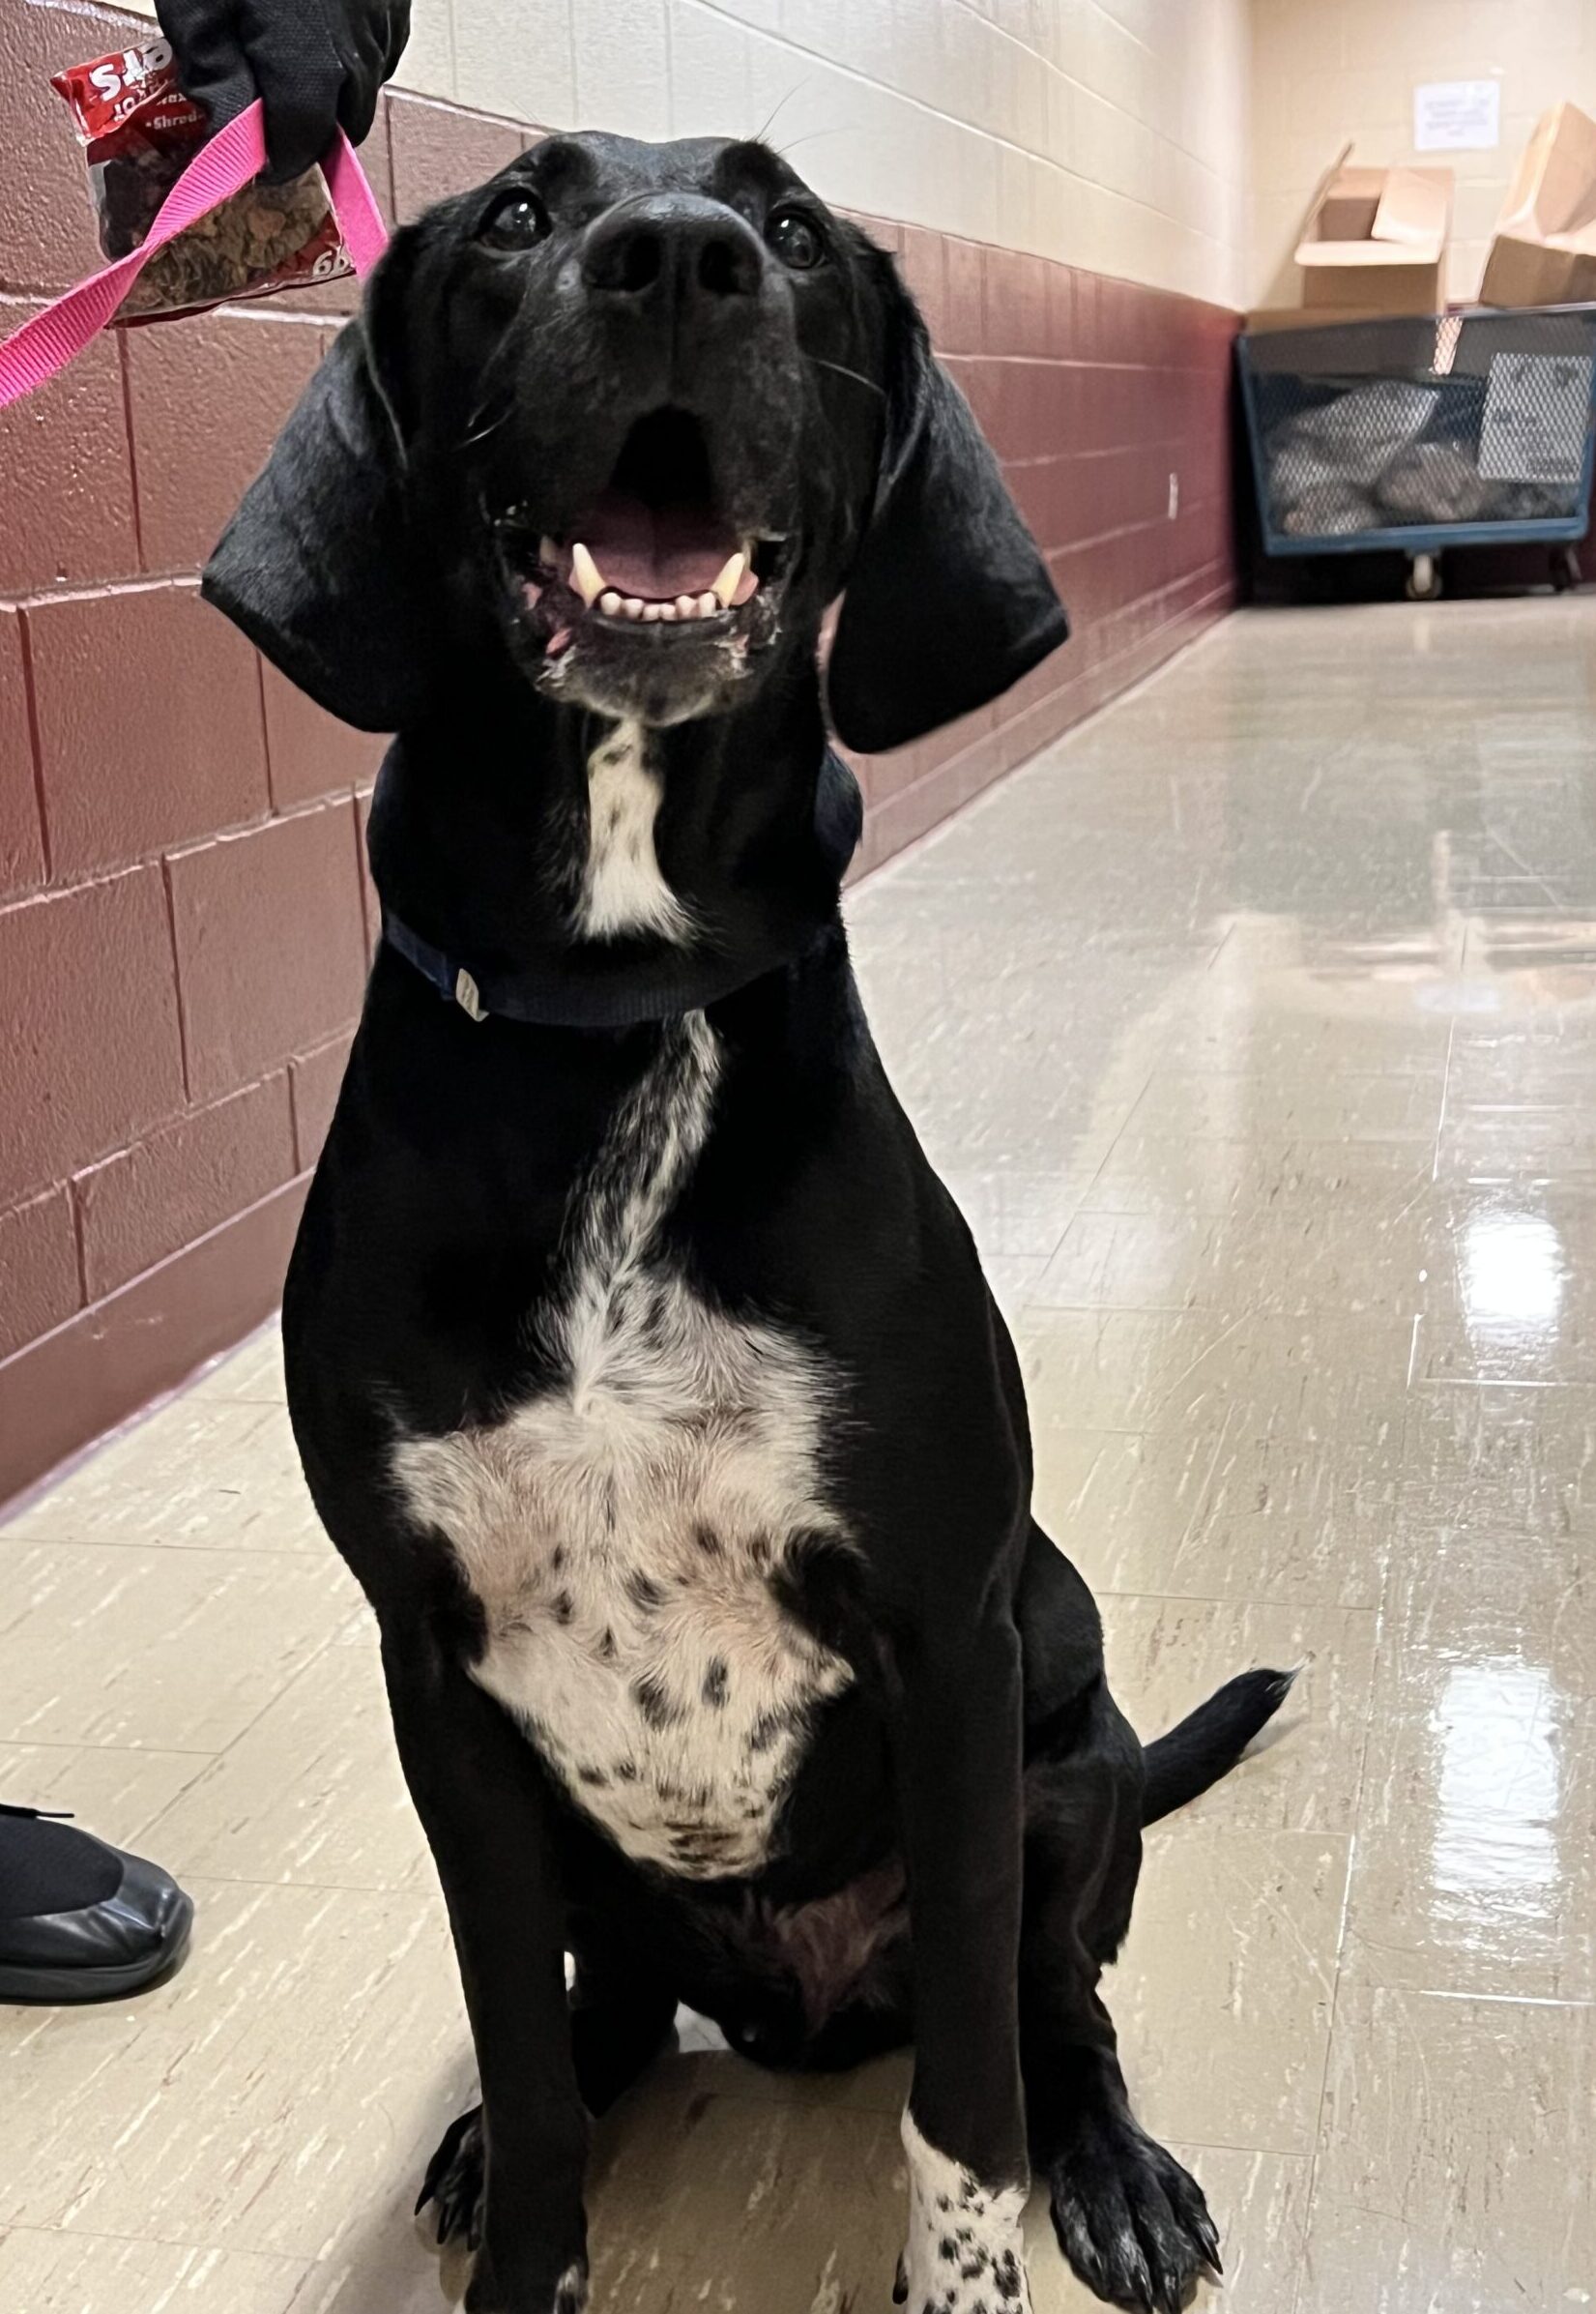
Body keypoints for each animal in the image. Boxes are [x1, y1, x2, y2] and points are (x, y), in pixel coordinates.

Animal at [204, 131, 1286, 2314]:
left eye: (789, 229)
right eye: (513, 219)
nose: (678, 260)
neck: (620, 1012)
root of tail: (794, 2002)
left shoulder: (948, 1649)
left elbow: (968, 2106)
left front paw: (974, 2264)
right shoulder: (435, 1679)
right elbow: (527, 2056)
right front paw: (527, 2240)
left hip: (1065, 1761)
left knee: (1056, 2011)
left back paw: (1116, 2167)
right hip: (579, 1846)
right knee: (596, 2017)